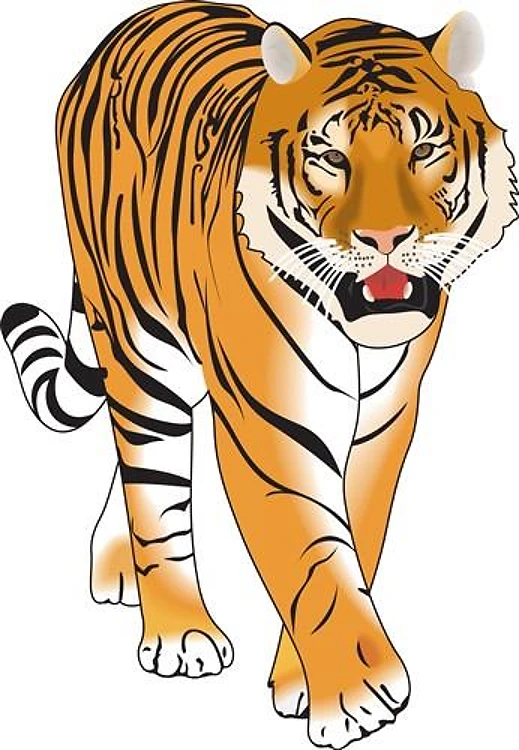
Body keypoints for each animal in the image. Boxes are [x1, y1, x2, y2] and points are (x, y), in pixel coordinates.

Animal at [1, 2, 516, 748]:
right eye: (330, 158)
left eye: (424, 151)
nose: (385, 240)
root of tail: (120, 30)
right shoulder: (267, 420)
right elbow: (309, 550)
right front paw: (353, 695)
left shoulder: (385, 423)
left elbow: (354, 536)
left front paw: (301, 680)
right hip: (140, 346)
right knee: (152, 482)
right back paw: (179, 630)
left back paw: (116, 563)